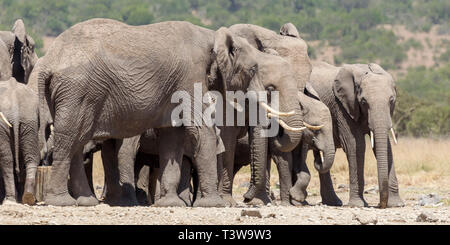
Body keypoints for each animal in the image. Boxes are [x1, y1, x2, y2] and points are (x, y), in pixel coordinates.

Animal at [30, 18, 302, 207]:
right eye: (254, 70)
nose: (246, 200)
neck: (213, 36)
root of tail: (47, 62)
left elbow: (172, 136)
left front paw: (172, 204)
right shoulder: (191, 75)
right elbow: (201, 131)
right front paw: (212, 205)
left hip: (76, 94)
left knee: (78, 140)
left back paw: (86, 202)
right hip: (77, 90)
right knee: (70, 138)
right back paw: (62, 202)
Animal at [310, 60, 404, 208]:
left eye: (391, 100)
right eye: (364, 102)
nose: (380, 204)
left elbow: (386, 147)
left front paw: (397, 204)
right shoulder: (342, 106)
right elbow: (356, 146)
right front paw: (357, 204)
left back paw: (333, 202)